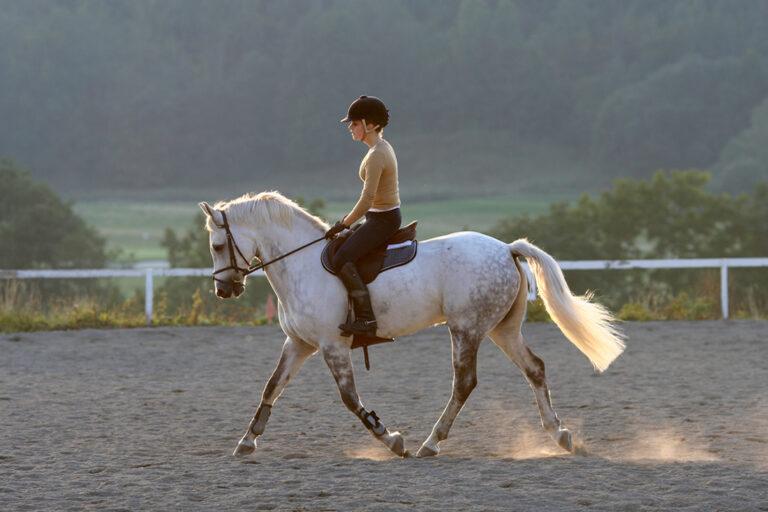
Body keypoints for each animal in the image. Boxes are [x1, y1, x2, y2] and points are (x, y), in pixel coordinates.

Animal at [198, 191, 625, 458]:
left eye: (218, 246)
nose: (223, 289)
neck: (300, 264)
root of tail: (506, 248)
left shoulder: (332, 345)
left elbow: (350, 399)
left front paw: (391, 440)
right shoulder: (299, 343)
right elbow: (271, 387)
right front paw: (247, 441)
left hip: (466, 329)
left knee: (464, 382)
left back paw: (430, 443)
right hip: (501, 329)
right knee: (534, 368)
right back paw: (560, 435)